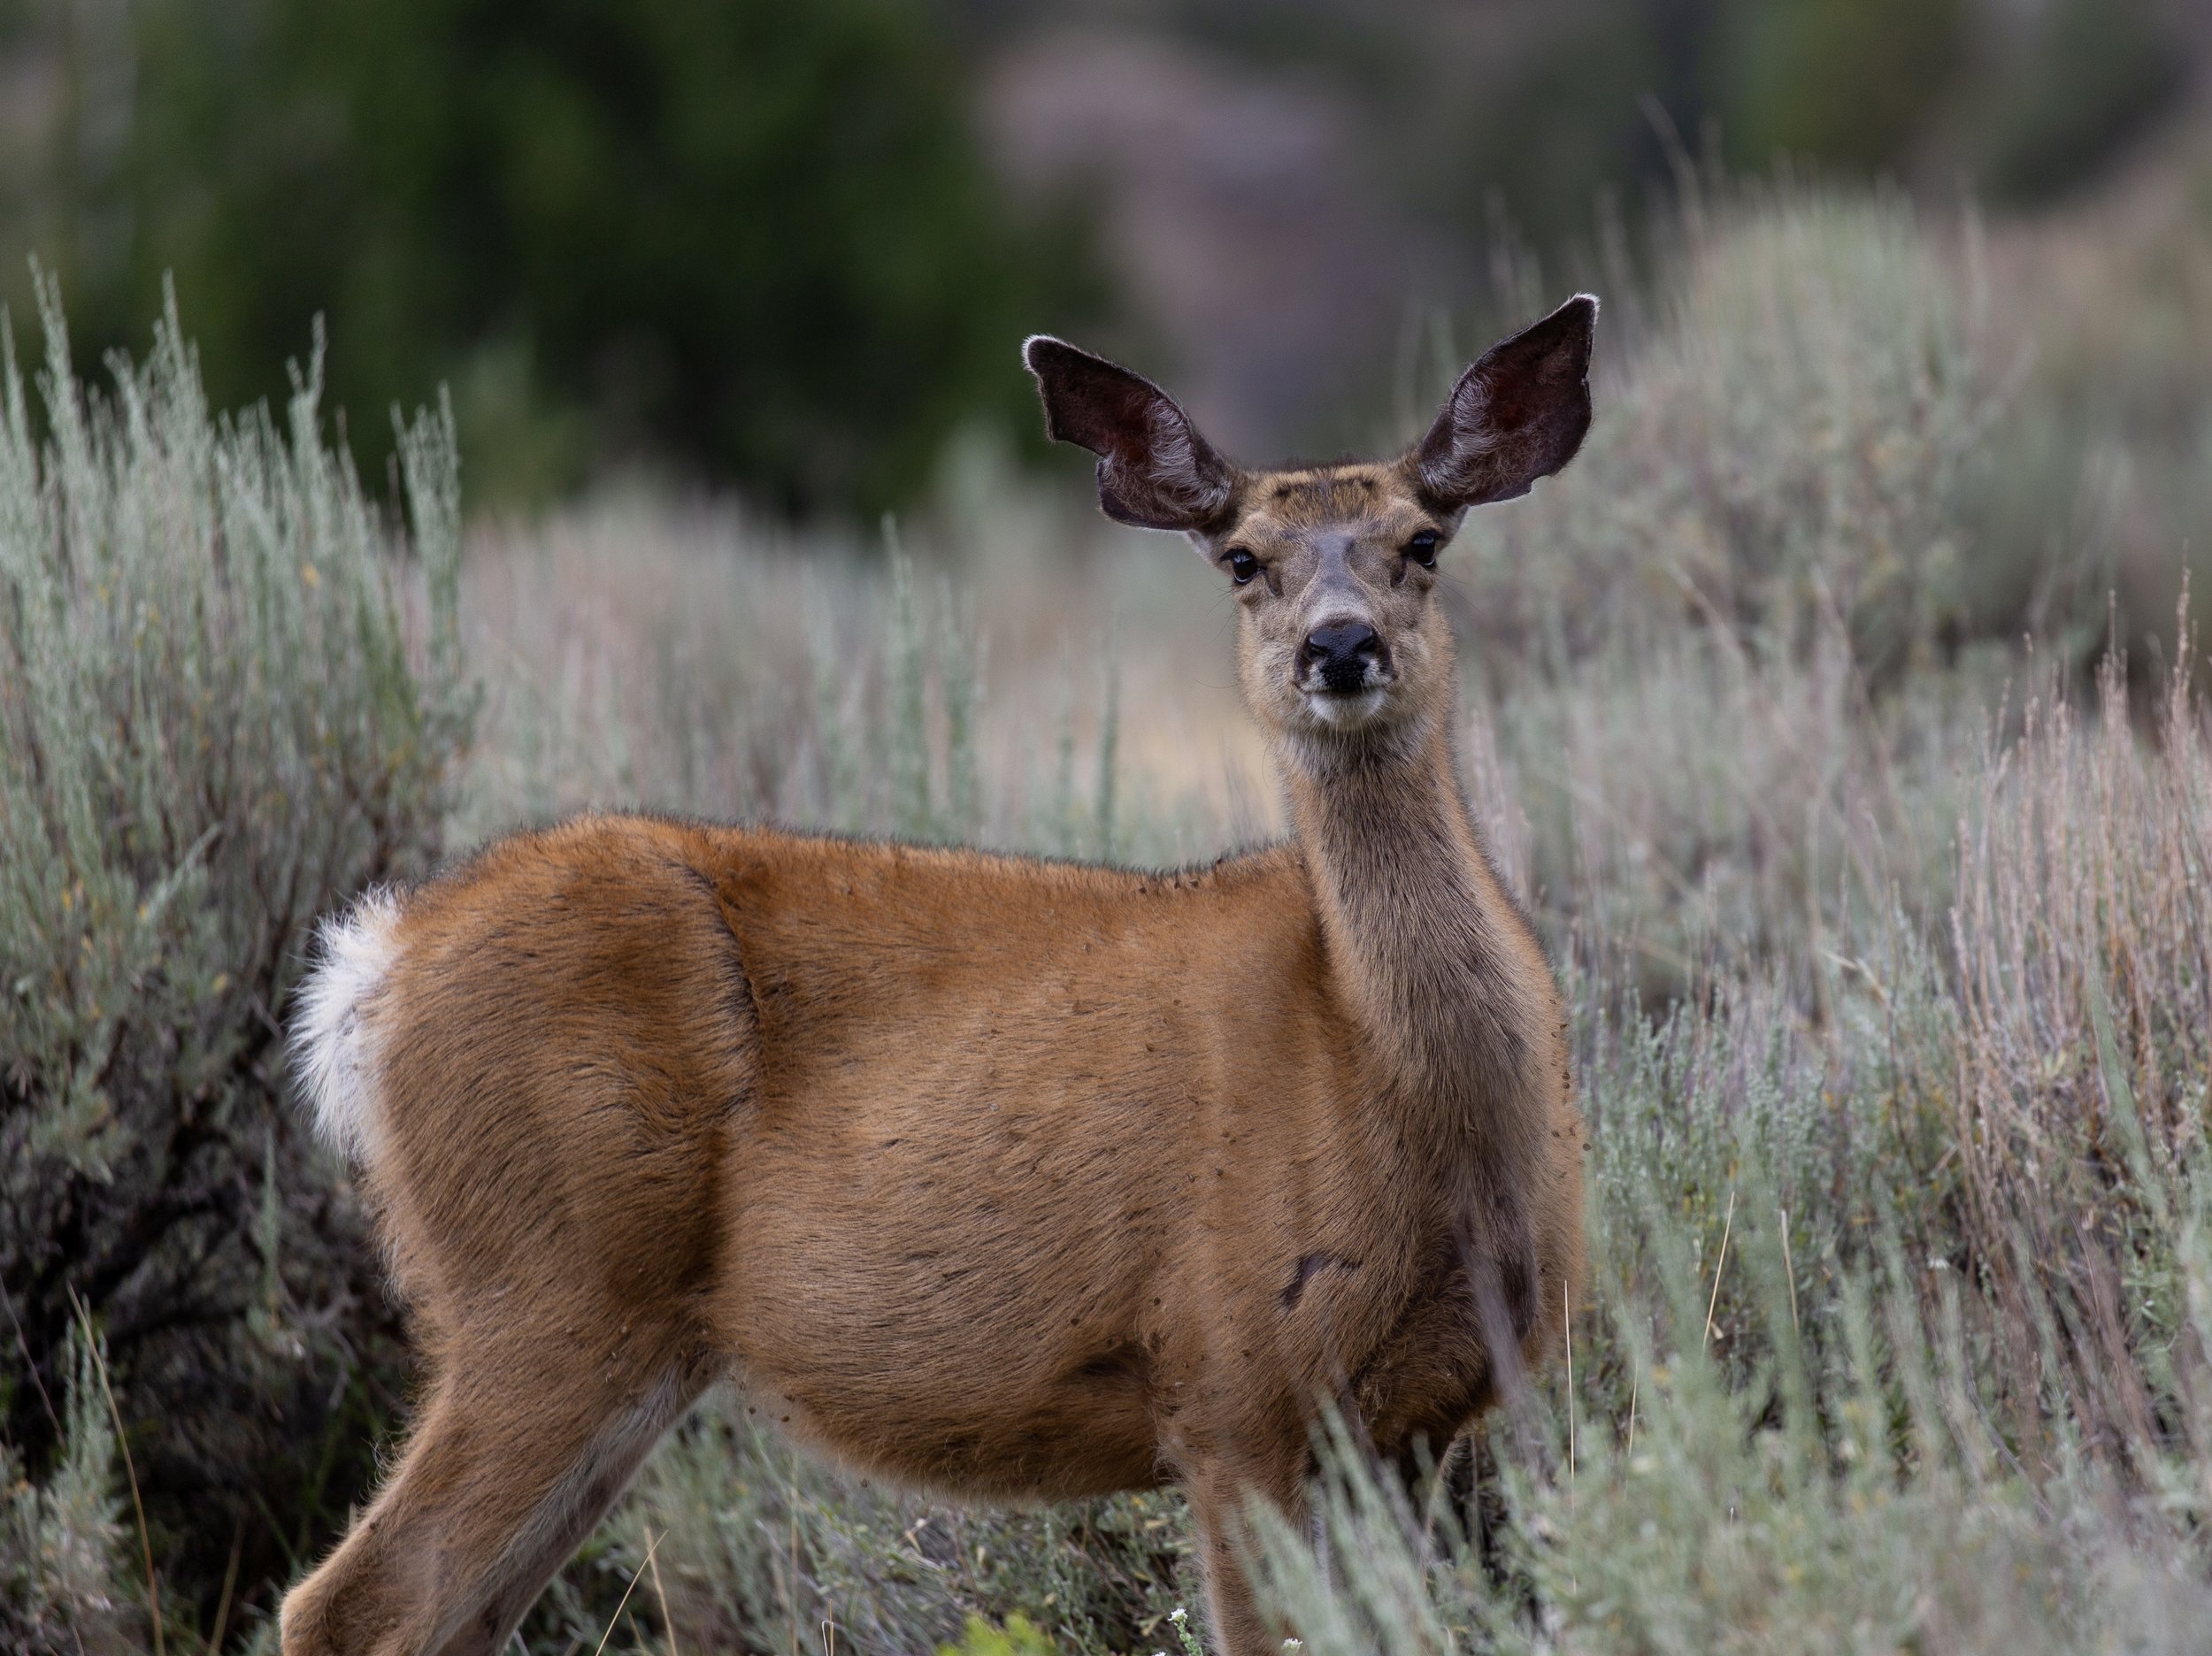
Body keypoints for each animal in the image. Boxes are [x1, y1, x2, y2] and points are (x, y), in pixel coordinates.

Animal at [280, 295, 1593, 1653]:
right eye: (1242, 560)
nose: (1341, 646)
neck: (1391, 1088)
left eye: (1423, 541)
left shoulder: (1432, 1416)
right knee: (348, 1603)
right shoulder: (1235, 1382)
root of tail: (375, 968)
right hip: (545, 1281)